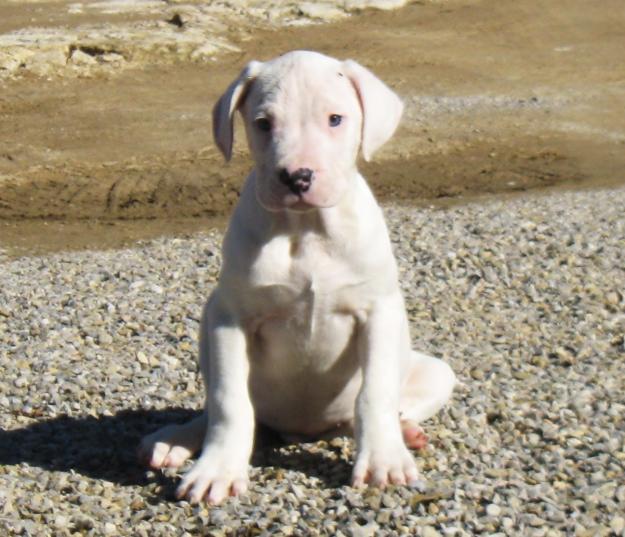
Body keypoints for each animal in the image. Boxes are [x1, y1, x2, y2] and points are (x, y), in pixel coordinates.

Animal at [139, 49, 456, 502]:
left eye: (336, 119)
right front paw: (218, 469)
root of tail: (300, 433)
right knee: (219, 410)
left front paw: (383, 460)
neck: (306, 230)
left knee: (363, 413)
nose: (298, 176)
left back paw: (405, 432)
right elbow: (229, 400)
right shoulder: (229, 318)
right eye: (263, 123)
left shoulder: (378, 311)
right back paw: (174, 440)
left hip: (434, 372)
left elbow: (374, 392)